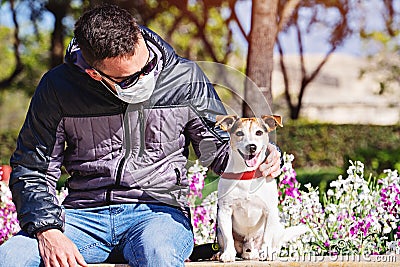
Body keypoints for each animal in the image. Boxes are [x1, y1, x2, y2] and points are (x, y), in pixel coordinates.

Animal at [216, 115, 310, 264]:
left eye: (259, 132)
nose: (252, 147)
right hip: (219, 230)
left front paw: (266, 253)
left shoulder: (269, 211)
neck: (247, 174)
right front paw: (228, 253)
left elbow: (267, 236)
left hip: (278, 227)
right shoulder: (224, 211)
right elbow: (228, 237)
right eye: (239, 133)